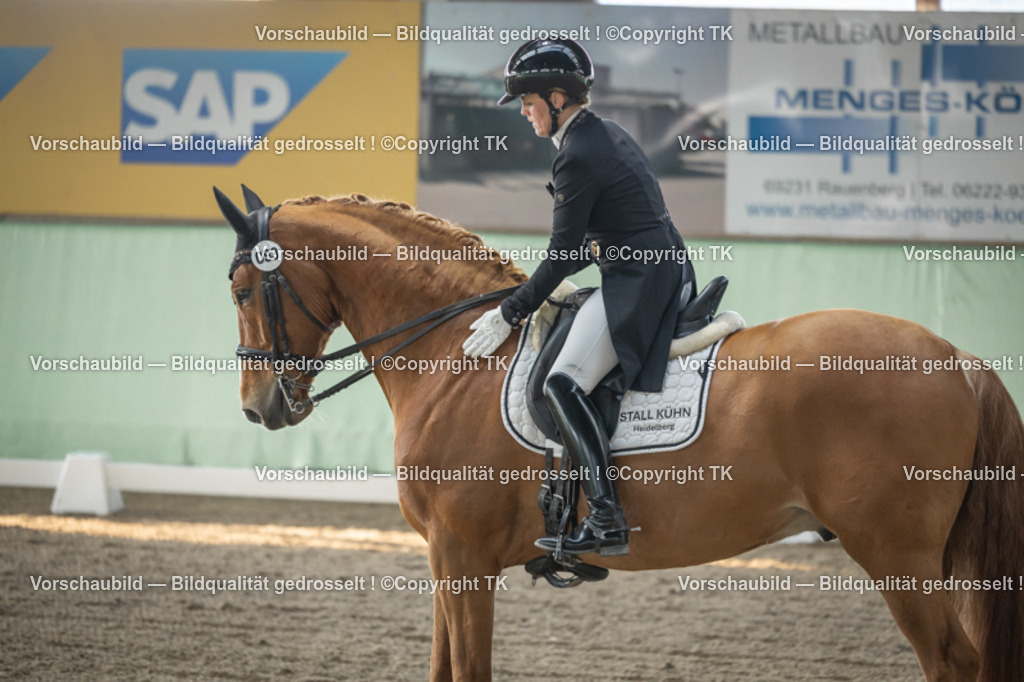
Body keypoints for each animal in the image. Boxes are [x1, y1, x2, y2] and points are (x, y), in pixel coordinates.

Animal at [217, 188, 1024, 682]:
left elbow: (469, 669)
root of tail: (956, 356)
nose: (258, 407)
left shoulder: (462, 556)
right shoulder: (448, 560)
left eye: (242, 290)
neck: (454, 357)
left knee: (952, 662)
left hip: (897, 555)